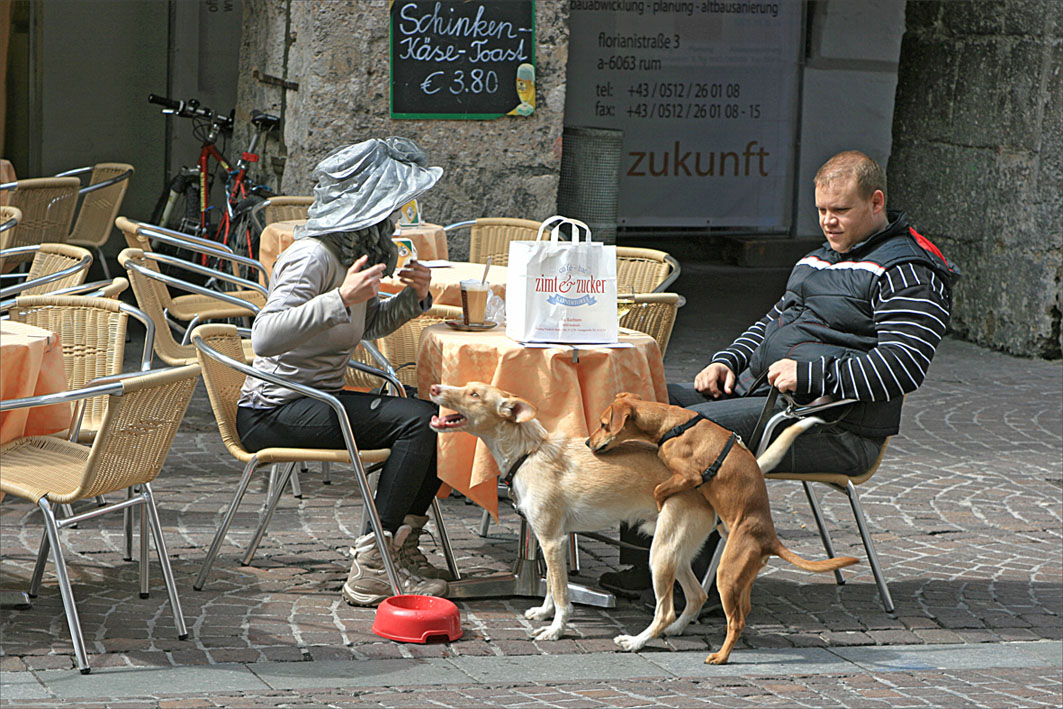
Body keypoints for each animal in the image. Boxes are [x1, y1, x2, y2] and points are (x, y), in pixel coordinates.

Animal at [586, 393, 858, 667]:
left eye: (603, 424)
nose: (587, 442)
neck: (673, 425)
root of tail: (770, 539)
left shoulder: (689, 476)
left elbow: (659, 490)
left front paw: (659, 507)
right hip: (741, 579)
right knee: (742, 613)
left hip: (725, 575)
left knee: (735, 621)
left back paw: (720, 656)